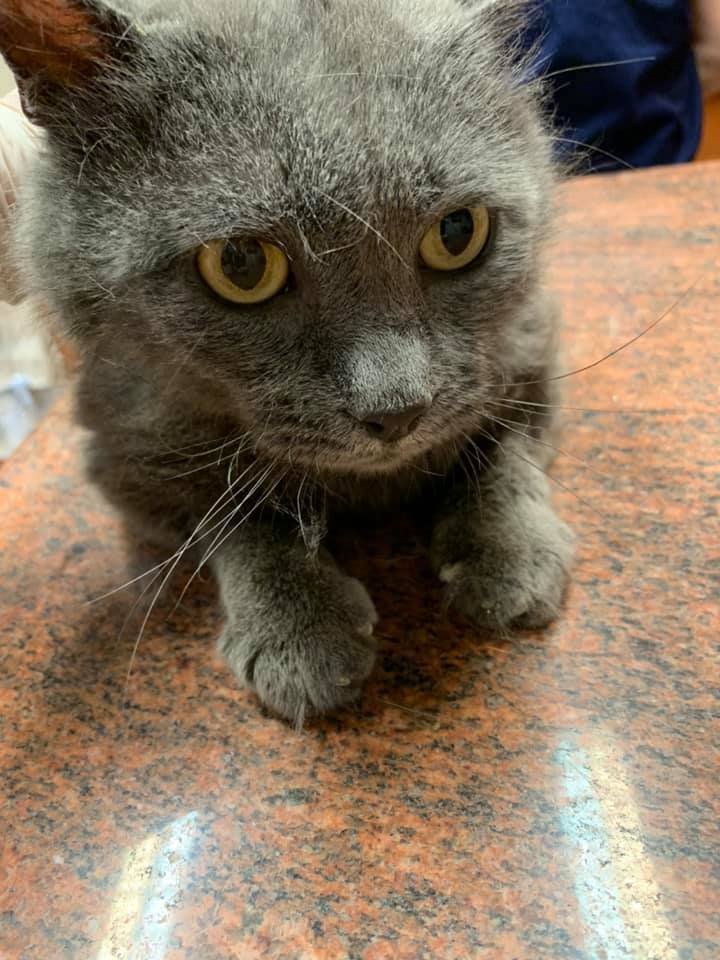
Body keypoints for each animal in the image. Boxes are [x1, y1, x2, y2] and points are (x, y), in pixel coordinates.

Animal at [1, 0, 573, 724]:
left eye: (457, 232)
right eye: (242, 264)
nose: (397, 411)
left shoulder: (527, 345)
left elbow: (503, 443)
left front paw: (510, 556)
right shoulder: (124, 446)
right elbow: (233, 512)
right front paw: (300, 633)